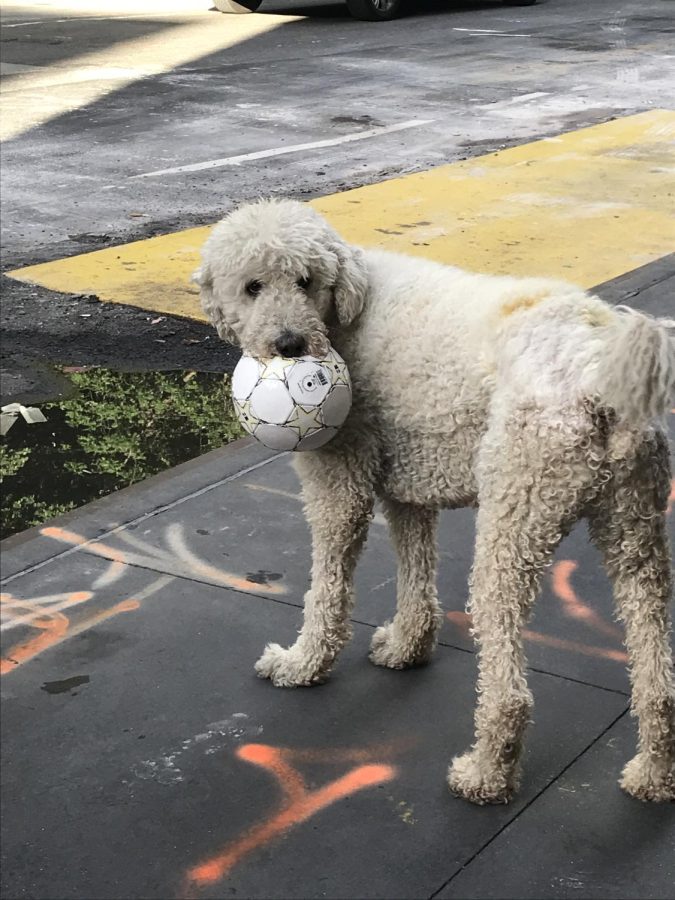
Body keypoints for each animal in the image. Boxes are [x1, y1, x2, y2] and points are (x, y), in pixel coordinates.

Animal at [194, 197, 675, 800]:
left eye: (305, 281)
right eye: (253, 286)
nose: (289, 347)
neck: (346, 310)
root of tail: (598, 364)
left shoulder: (340, 481)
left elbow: (326, 587)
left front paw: (302, 664)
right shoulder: (408, 486)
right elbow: (415, 571)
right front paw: (408, 646)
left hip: (513, 524)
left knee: (510, 690)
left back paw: (485, 774)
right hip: (635, 529)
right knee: (658, 681)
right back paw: (652, 776)